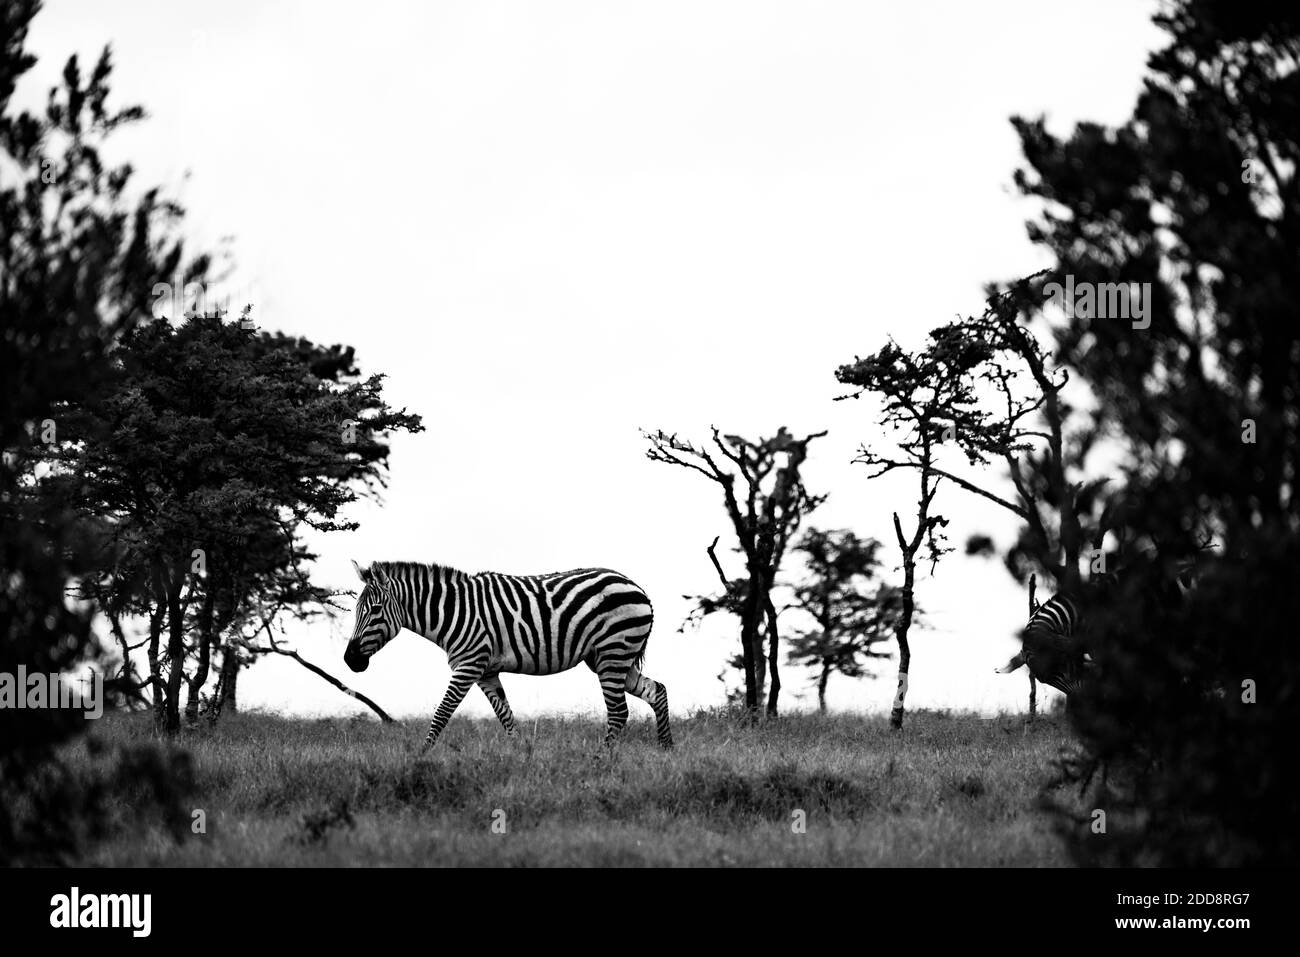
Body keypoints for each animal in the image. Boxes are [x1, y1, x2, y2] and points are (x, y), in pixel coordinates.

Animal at [340, 556, 676, 748]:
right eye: (356, 610)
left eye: (375, 610)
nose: (350, 660)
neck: (453, 612)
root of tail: (637, 588)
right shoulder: (486, 672)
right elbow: (506, 717)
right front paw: (521, 756)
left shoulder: (468, 666)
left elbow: (441, 714)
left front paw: (420, 758)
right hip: (612, 657)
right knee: (656, 691)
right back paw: (666, 748)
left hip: (612, 652)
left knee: (619, 712)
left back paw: (601, 760)